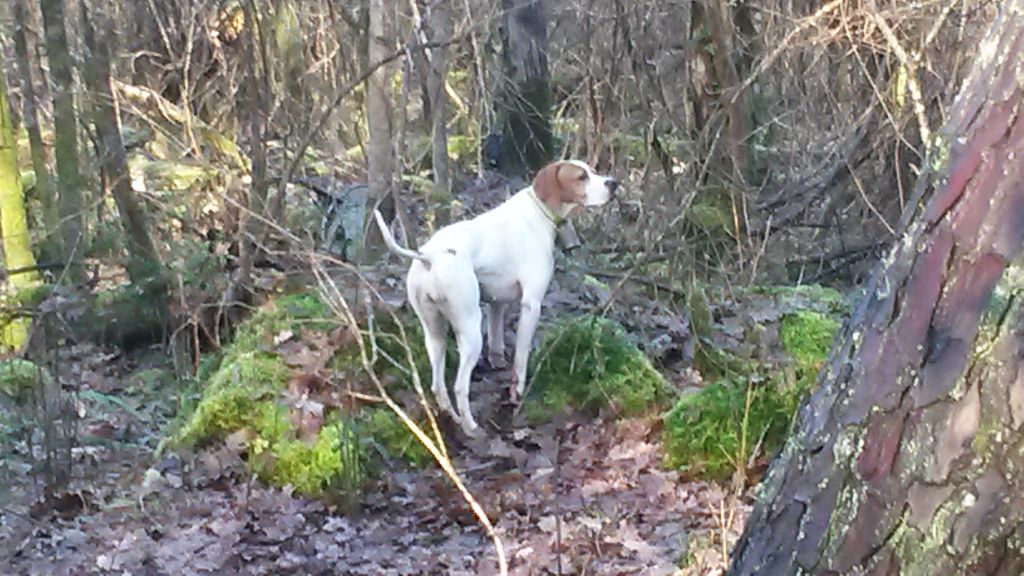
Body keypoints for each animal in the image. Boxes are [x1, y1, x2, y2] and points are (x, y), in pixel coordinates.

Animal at [376, 158, 614, 432]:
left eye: (592, 171)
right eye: (581, 177)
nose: (614, 183)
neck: (538, 211)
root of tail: (429, 257)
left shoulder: (496, 301)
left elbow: (497, 337)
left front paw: (497, 361)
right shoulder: (531, 305)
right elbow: (521, 357)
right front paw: (517, 391)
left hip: (434, 332)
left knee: (438, 385)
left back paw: (450, 416)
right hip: (470, 329)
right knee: (459, 387)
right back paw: (470, 427)